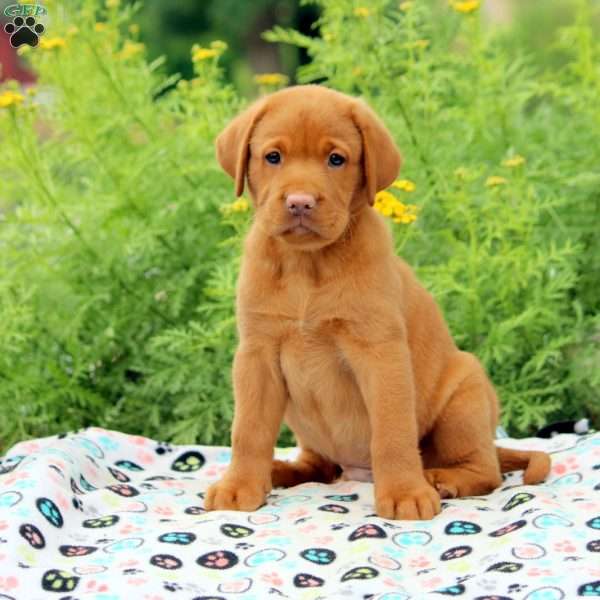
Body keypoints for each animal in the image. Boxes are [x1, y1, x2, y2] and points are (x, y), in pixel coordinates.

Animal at [204, 84, 552, 520]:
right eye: (273, 157)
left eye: (336, 159)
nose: (300, 202)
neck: (307, 266)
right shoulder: (257, 355)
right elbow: (248, 431)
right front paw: (238, 485)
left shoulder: (380, 353)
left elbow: (391, 432)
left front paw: (405, 492)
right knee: (318, 467)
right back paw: (280, 470)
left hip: (464, 398)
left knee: (486, 470)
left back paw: (441, 479)